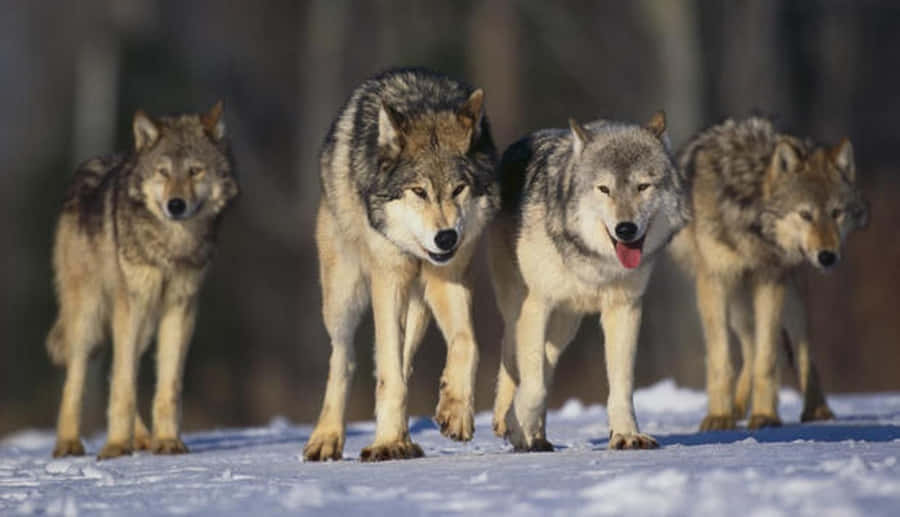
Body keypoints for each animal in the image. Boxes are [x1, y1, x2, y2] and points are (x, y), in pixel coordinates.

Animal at [46, 102, 238, 459]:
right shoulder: (131, 306)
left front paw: (167, 441)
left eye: (195, 171)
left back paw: (143, 438)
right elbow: (123, 385)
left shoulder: (181, 308)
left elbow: (167, 385)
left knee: (119, 370)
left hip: (145, 323)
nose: (175, 204)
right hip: (90, 317)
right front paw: (115, 447)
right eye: (163, 172)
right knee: (77, 379)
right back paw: (68, 444)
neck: (171, 246)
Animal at [303, 68, 498, 462]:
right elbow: (388, 375)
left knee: (400, 359)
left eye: (459, 189)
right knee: (344, 358)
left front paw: (455, 411)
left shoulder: (447, 277)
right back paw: (327, 438)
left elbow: (467, 342)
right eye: (418, 191)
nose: (446, 238)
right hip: (343, 296)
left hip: (419, 302)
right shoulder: (388, 278)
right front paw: (388, 442)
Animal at [489, 112, 688, 451]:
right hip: (520, 306)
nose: (625, 229)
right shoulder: (537, 305)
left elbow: (621, 385)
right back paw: (508, 422)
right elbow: (533, 385)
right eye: (604, 189)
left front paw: (626, 434)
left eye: (642, 186)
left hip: (565, 326)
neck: (594, 260)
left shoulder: (625, 309)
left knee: (546, 363)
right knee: (512, 357)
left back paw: (538, 437)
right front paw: (516, 425)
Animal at [671, 117, 868, 431]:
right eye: (805, 214)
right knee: (749, 347)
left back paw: (816, 409)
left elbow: (768, 358)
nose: (827, 256)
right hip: (737, 301)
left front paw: (764, 415)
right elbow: (722, 359)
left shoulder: (771, 279)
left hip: (789, 296)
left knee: (801, 350)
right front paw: (719, 416)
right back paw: (737, 407)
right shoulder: (715, 281)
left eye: (837, 213)